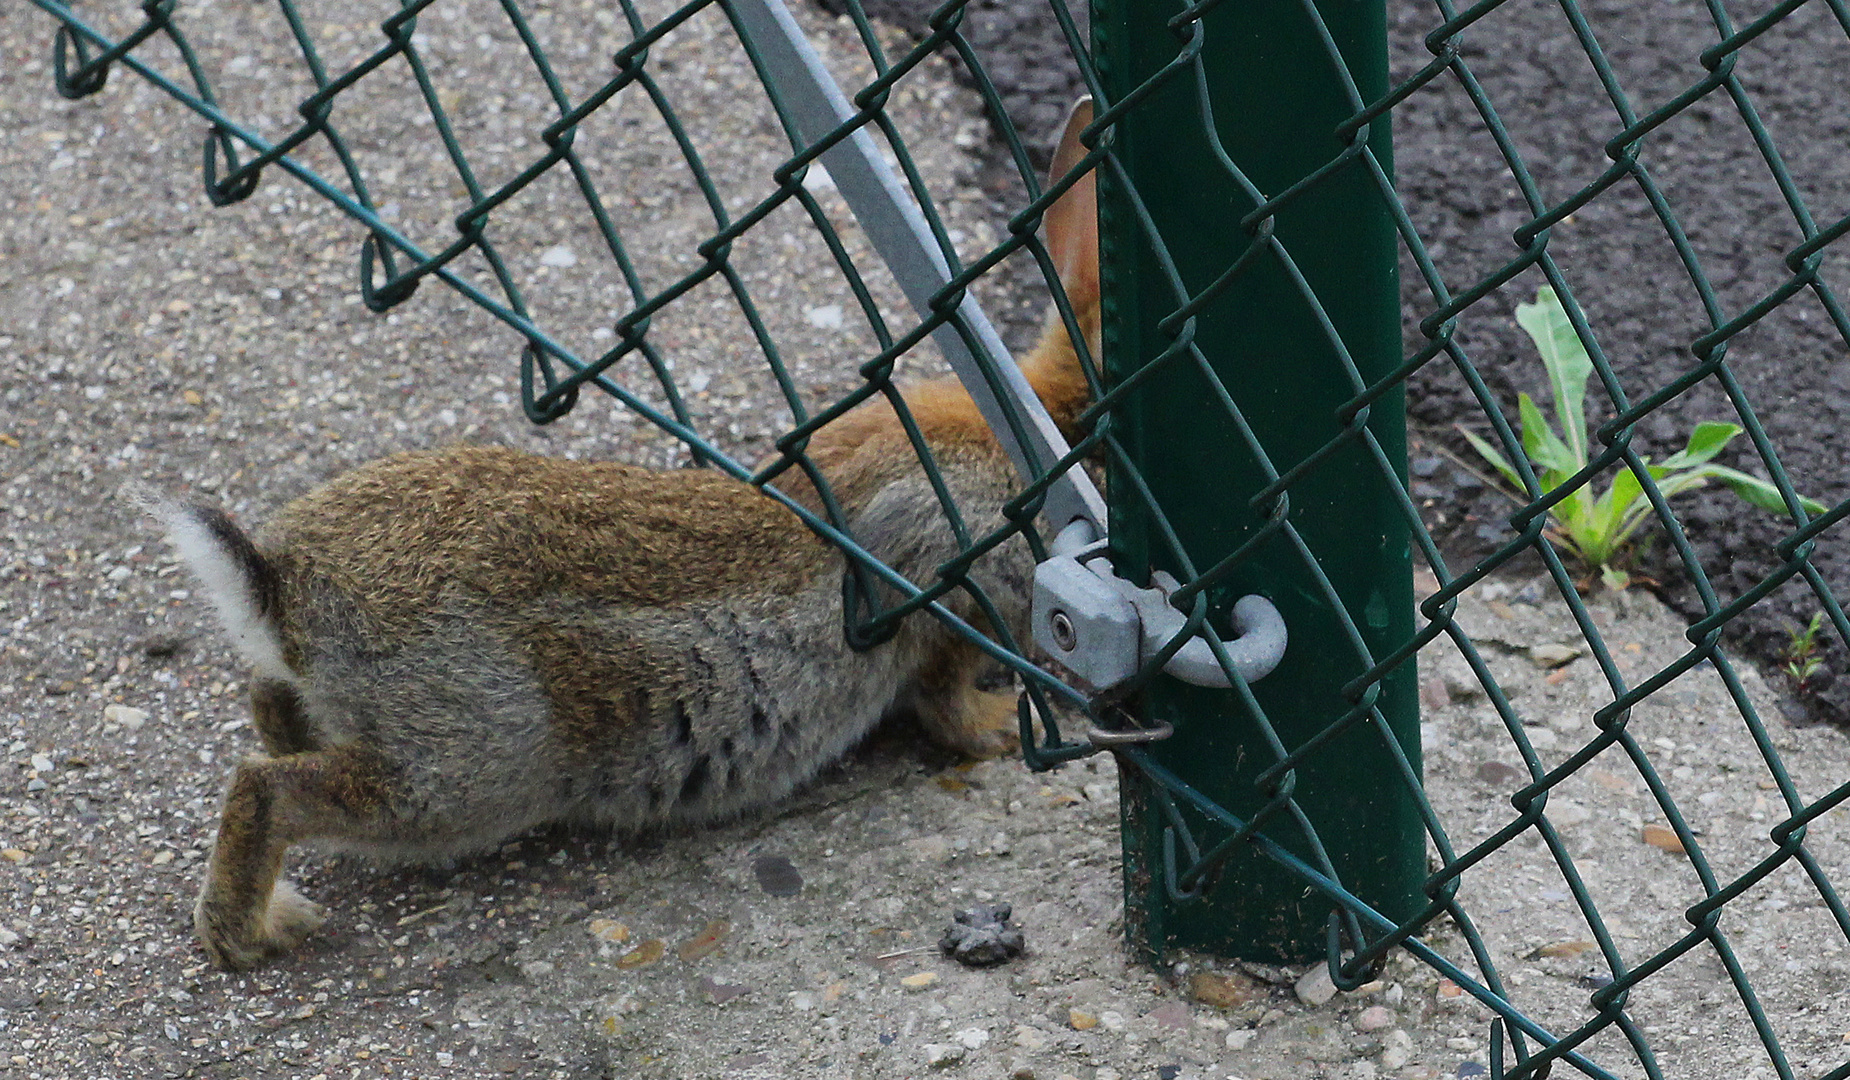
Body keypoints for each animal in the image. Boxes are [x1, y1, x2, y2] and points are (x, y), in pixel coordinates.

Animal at [151, 98, 1095, 969]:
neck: (1045, 427)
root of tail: (282, 584)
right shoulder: (946, 570)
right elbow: (941, 694)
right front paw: (1001, 731)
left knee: (270, 707)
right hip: (463, 769)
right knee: (272, 789)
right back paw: (257, 931)